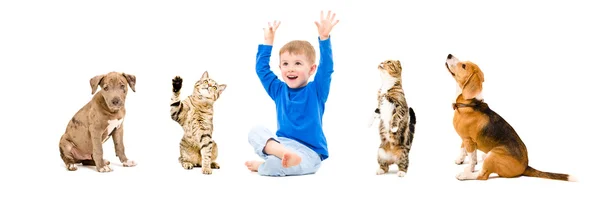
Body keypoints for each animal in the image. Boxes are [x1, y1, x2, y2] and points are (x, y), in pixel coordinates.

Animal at [442, 53, 576, 181]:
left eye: (463, 66)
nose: (449, 54)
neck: (469, 102)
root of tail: (525, 166)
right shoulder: (465, 138)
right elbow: (462, 148)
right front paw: (460, 159)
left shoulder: (469, 140)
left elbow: (471, 159)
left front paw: (469, 169)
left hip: (494, 155)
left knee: (483, 175)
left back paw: (464, 175)